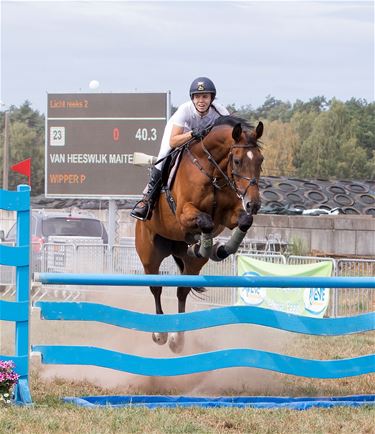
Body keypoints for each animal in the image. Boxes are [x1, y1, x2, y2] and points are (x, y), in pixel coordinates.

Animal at [135, 116, 264, 352]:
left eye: (260, 160)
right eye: (237, 161)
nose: (254, 204)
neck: (212, 171)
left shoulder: (228, 216)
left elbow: (243, 221)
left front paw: (220, 249)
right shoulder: (184, 212)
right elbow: (205, 221)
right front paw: (206, 244)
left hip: (190, 264)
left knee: (182, 290)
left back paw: (178, 338)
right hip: (149, 254)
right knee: (156, 287)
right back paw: (160, 333)